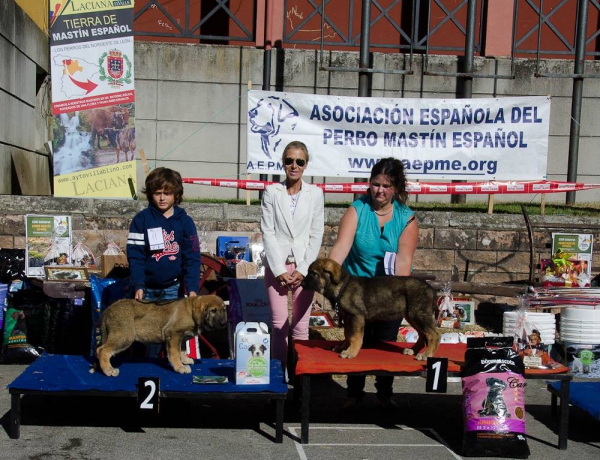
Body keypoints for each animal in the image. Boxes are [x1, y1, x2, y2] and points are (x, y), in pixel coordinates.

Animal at [96, 294, 227, 378]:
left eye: (224, 310)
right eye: (213, 311)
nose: (224, 323)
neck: (191, 311)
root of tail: (107, 310)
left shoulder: (181, 337)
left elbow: (182, 350)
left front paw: (184, 360)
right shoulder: (173, 334)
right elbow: (175, 353)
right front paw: (179, 367)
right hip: (125, 336)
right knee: (102, 350)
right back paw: (108, 370)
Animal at [302, 258, 438, 360]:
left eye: (313, 274)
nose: (302, 284)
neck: (342, 287)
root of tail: (431, 289)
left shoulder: (356, 316)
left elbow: (354, 336)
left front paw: (350, 352)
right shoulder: (347, 318)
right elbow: (347, 335)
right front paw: (343, 347)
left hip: (418, 314)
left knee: (434, 334)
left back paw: (427, 354)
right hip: (412, 316)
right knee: (423, 335)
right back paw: (413, 350)